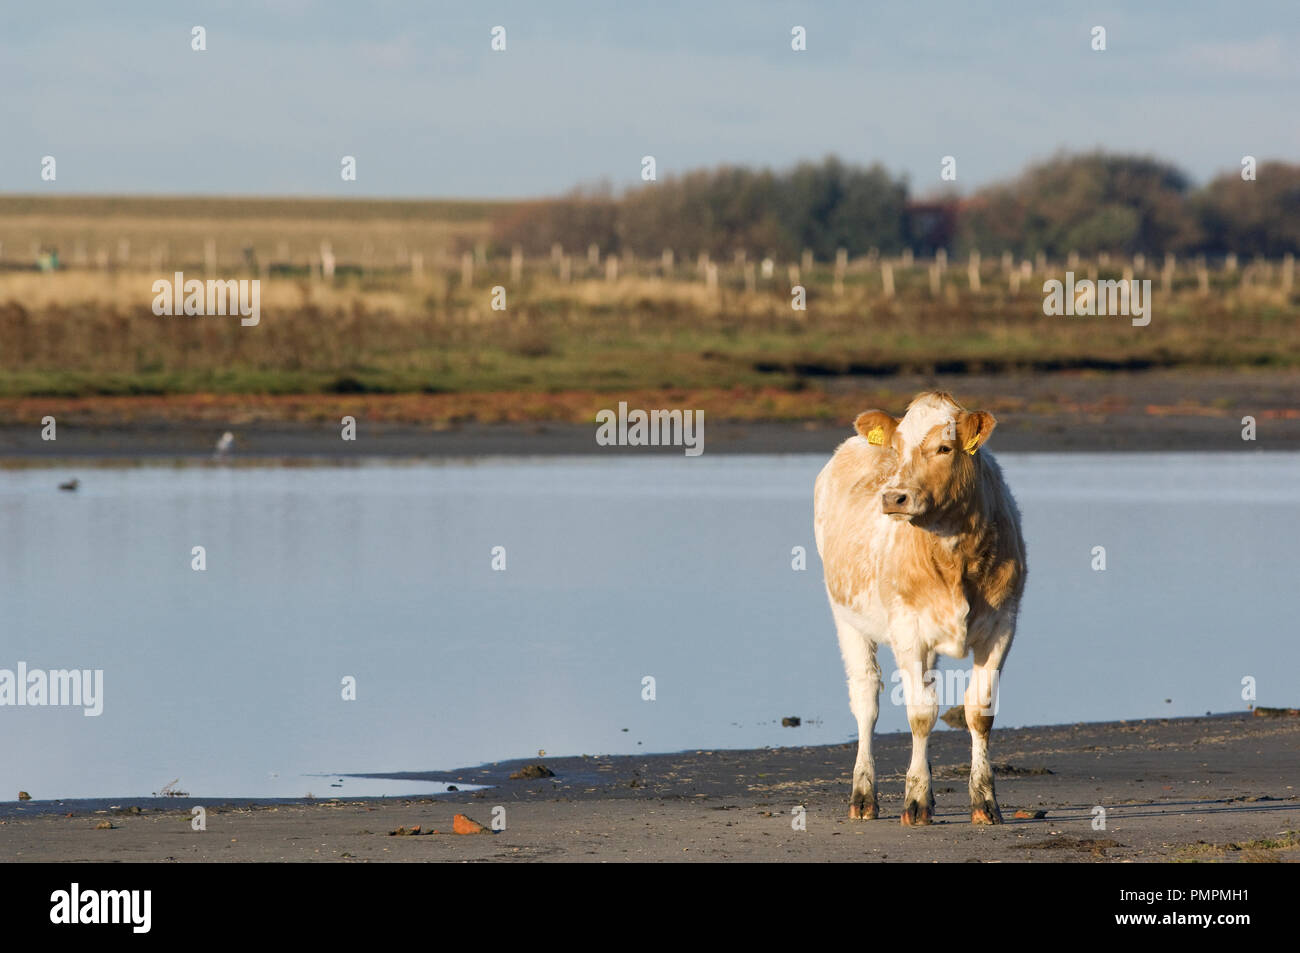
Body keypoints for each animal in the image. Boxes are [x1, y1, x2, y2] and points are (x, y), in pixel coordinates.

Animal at [811, 390, 1024, 821]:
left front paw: (985, 801)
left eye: (944, 448)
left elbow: (979, 711)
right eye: (896, 448)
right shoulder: (908, 630)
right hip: (847, 617)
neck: (955, 554)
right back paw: (863, 795)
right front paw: (917, 798)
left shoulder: (1002, 626)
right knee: (866, 698)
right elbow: (921, 714)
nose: (894, 497)